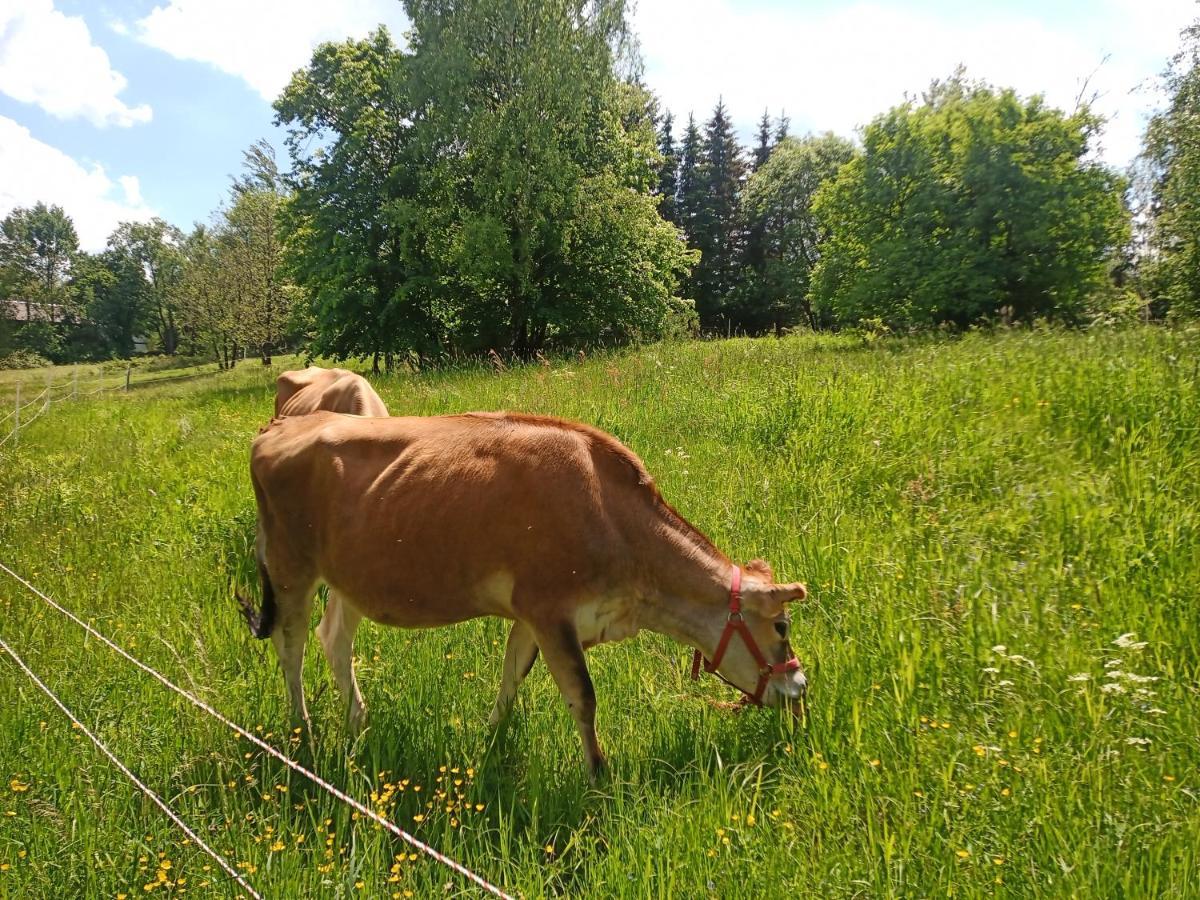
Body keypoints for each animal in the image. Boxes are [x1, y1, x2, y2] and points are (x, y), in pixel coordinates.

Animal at [241, 412, 806, 772]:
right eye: (781, 626)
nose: (799, 690)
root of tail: (279, 426)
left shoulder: (530, 616)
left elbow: (511, 678)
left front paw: (489, 744)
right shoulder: (550, 610)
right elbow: (583, 696)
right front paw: (599, 777)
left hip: (348, 577)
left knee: (333, 637)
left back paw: (357, 722)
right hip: (290, 568)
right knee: (290, 647)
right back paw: (303, 732)